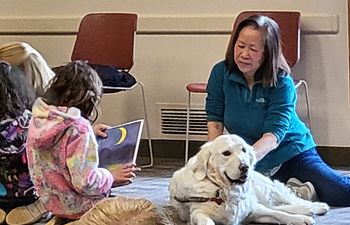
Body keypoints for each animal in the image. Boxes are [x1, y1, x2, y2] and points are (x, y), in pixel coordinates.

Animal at [168, 134, 330, 225]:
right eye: (226, 153)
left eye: (244, 150)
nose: (245, 167)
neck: (223, 191)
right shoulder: (197, 212)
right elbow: (207, 221)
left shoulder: (252, 210)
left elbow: (280, 214)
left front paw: (301, 220)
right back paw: (310, 210)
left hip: (266, 190)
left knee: (288, 202)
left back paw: (315, 207)